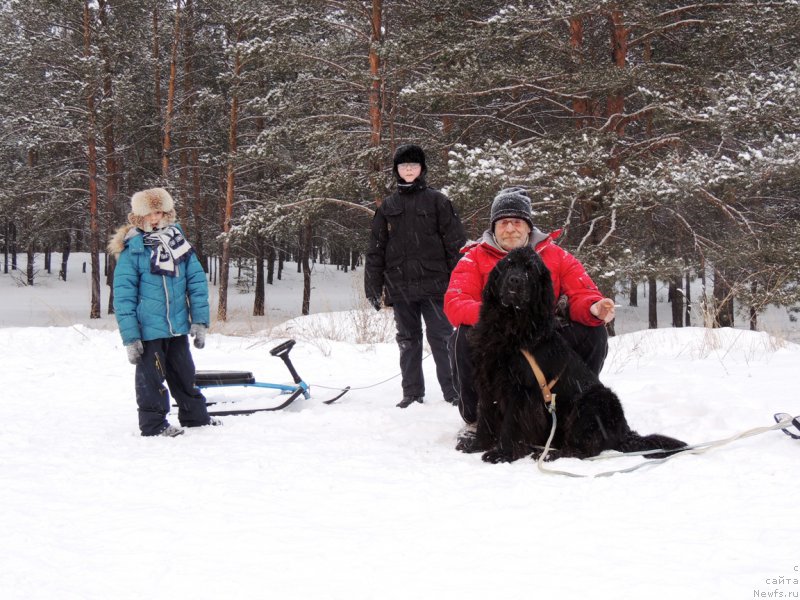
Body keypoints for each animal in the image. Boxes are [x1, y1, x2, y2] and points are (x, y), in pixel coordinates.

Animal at [460, 246, 684, 462]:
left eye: (530, 270)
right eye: (509, 265)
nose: (515, 280)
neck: (509, 324)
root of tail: (625, 432)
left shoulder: (521, 389)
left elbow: (510, 424)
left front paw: (502, 453)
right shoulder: (487, 380)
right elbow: (486, 416)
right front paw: (477, 445)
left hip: (593, 403)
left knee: (584, 449)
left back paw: (550, 454)